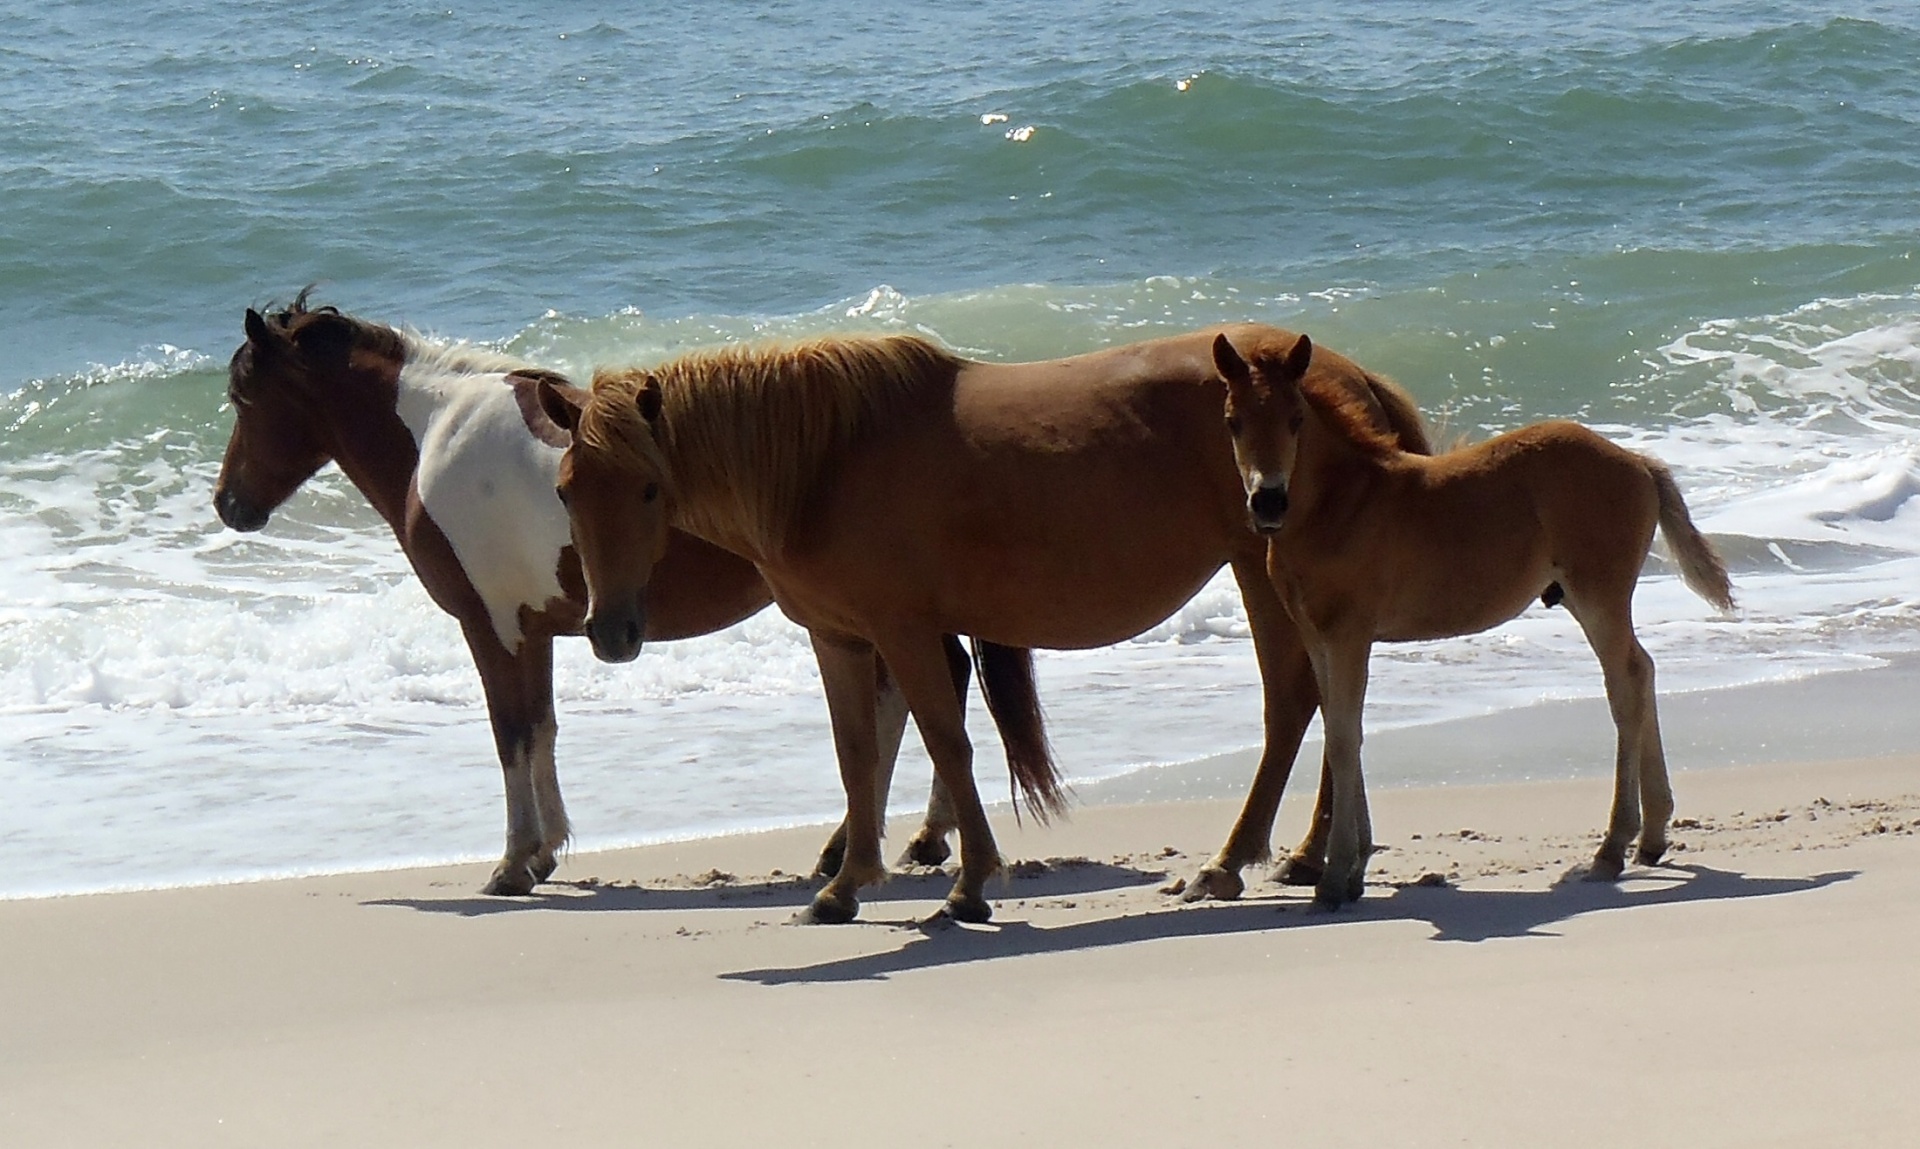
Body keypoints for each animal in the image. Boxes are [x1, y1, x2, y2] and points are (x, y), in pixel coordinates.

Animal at [212, 297, 1052, 899]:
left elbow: (510, 732)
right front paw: (546, 851)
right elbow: (543, 728)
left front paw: (513, 863)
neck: (437, 432)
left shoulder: (492, 626)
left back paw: (897, 844)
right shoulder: (537, 629)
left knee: (923, 690)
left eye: (244, 396)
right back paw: (885, 843)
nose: (229, 504)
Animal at [533, 324, 1436, 926]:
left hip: (1261, 565)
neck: (824, 461)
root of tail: (1354, 375)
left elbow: (945, 739)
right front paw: (846, 883)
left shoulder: (902, 629)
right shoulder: (838, 636)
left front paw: (968, 883)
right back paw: (1309, 855)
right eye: (566, 489)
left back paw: (1231, 863)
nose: (611, 630)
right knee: (1326, 698)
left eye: (649, 489)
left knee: (1292, 703)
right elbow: (858, 754)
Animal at [1213, 330, 1743, 910]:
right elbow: (1338, 727)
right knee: (1642, 670)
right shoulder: (1316, 635)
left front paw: (1335, 879)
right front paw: (1353, 869)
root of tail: (1637, 461)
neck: (1341, 507)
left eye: (1295, 419)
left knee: (1624, 682)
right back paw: (1651, 838)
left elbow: (1344, 738)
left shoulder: (1349, 634)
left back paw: (1612, 848)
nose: (1267, 502)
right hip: (1583, 598)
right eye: (1233, 420)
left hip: (1598, 594)